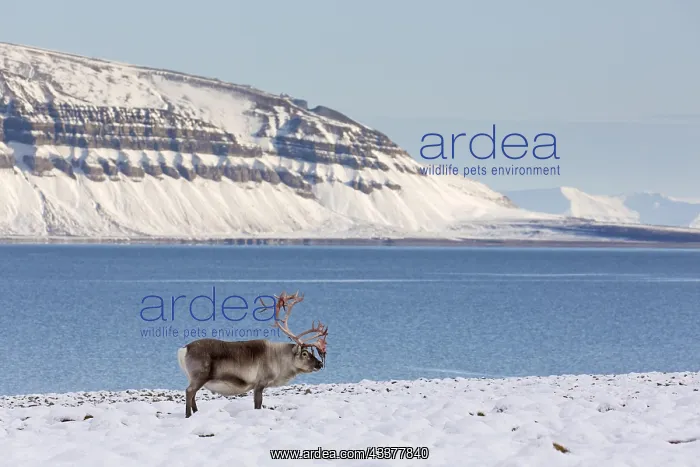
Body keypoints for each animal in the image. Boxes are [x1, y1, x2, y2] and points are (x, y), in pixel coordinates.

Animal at [176, 291, 328, 418]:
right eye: (305, 353)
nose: (320, 363)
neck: (279, 359)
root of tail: (184, 349)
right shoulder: (260, 383)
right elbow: (258, 405)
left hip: (195, 378)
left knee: (193, 394)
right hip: (199, 376)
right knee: (189, 391)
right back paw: (188, 416)